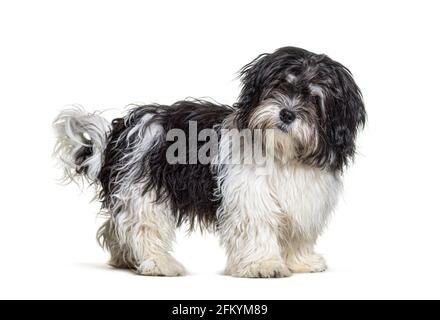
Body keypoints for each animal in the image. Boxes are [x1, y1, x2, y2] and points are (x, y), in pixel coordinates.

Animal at [54, 46, 364, 276]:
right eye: (280, 86)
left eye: (314, 98)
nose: (287, 113)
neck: (284, 154)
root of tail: (120, 131)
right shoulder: (249, 197)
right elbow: (258, 229)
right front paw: (264, 265)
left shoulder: (305, 201)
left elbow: (297, 235)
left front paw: (300, 262)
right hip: (141, 191)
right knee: (142, 227)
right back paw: (158, 263)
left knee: (117, 227)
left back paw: (125, 258)